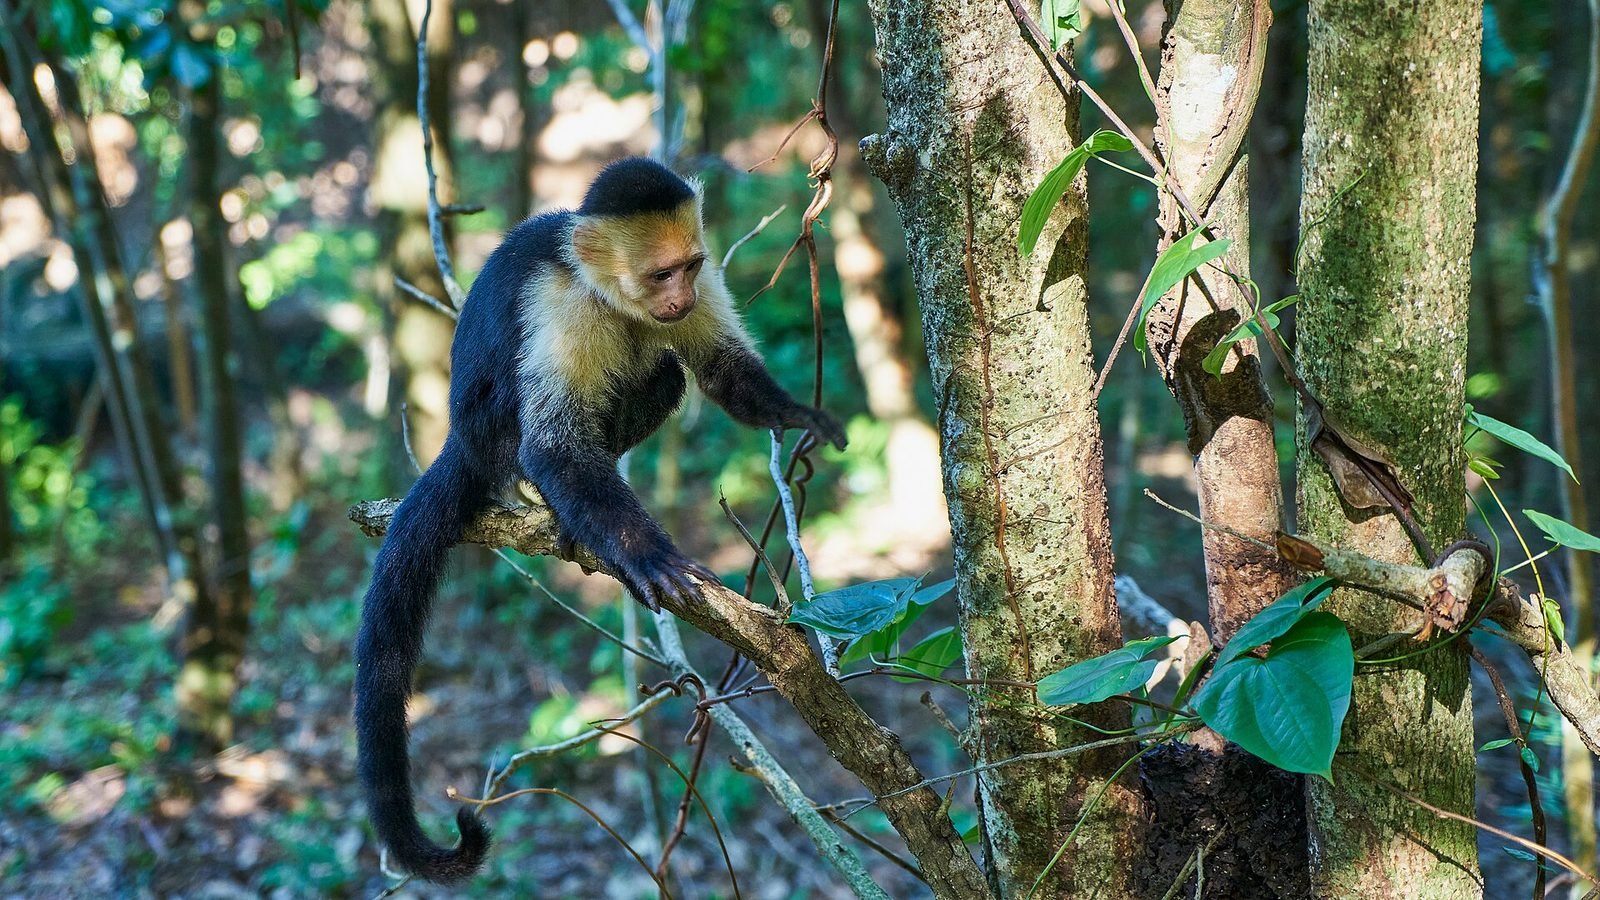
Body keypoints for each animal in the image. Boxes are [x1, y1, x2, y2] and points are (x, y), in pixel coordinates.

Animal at [354, 157, 847, 883]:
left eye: (690, 266)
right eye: (660, 274)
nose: (679, 298)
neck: (607, 292)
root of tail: (459, 442)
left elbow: (721, 369)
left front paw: (794, 412)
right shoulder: (559, 303)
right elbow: (556, 446)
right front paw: (644, 552)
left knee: (664, 368)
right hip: (488, 434)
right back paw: (551, 502)